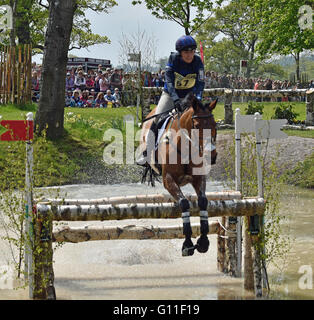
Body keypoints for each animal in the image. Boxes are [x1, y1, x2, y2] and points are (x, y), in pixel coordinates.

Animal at [139, 92, 217, 255]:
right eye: (197, 126)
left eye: (215, 125)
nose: (212, 156)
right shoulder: (168, 179)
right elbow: (184, 203)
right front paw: (187, 244)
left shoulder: (198, 178)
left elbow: (203, 201)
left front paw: (203, 241)